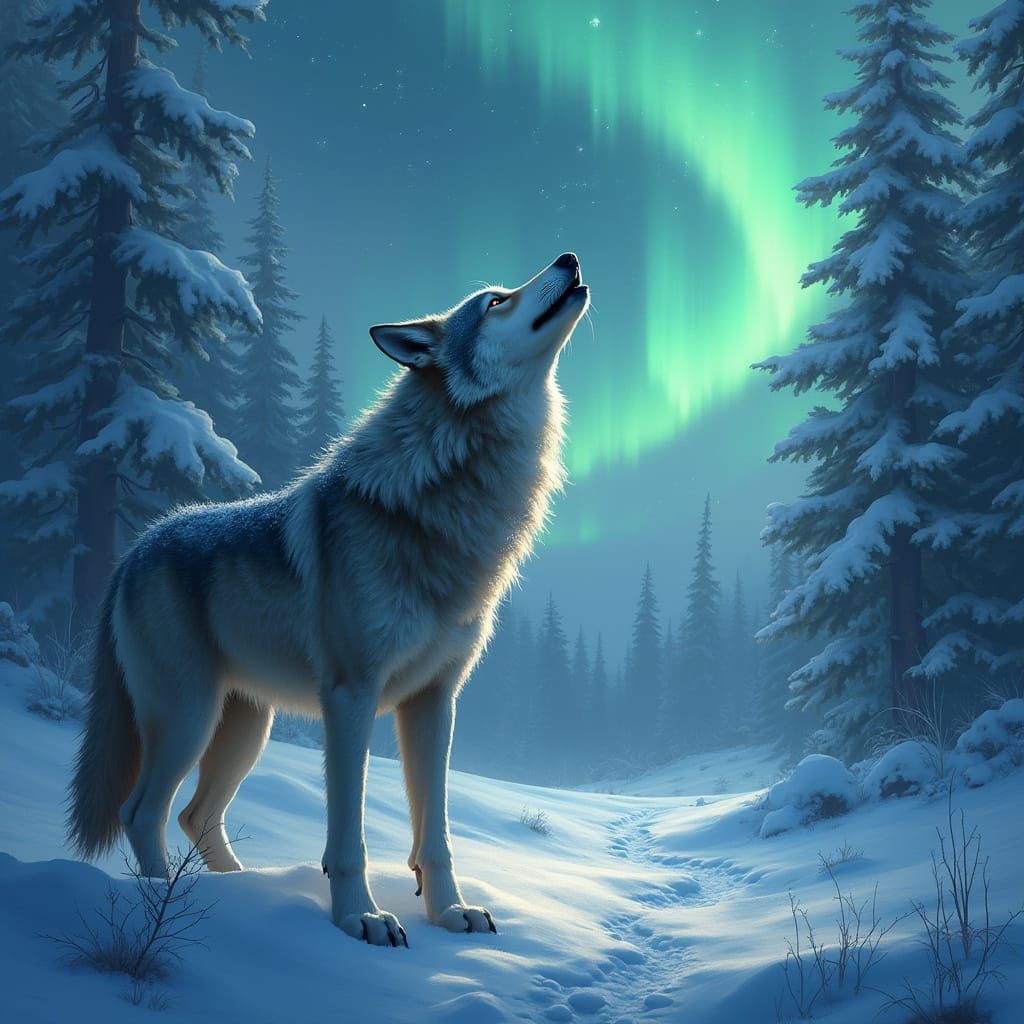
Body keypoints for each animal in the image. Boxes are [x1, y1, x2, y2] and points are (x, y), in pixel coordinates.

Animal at [68, 252, 589, 946]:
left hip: (245, 730)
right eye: (496, 301)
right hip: (188, 718)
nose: (569, 258)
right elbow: (348, 836)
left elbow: (435, 835)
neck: (439, 506)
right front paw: (360, 919)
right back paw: (162, 907)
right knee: (142, 810)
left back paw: (236, 893)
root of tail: (136, 548)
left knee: (195, 816)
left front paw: (449, 913)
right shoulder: (350, 696)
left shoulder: (435, 701)